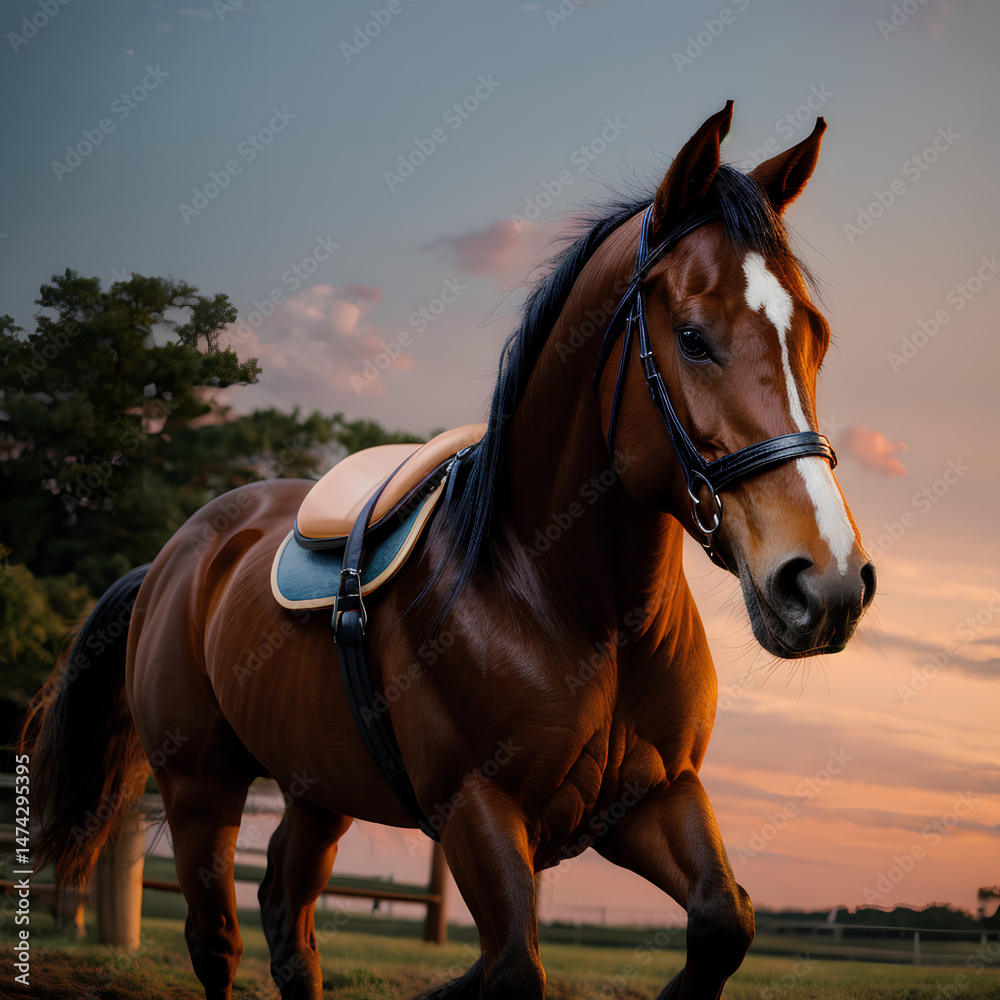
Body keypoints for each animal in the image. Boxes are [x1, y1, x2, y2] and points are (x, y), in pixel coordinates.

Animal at [24, 101, 875, 1000]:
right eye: (693, 338)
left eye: (815, 337)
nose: (826, 583)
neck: (571, 603)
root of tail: (177, 558)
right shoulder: (475, 809)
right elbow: (513, 967)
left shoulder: (657, 797)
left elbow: (722, 922)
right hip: (200, 788)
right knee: (217, 940)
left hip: (315, 788)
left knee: (288, 917)